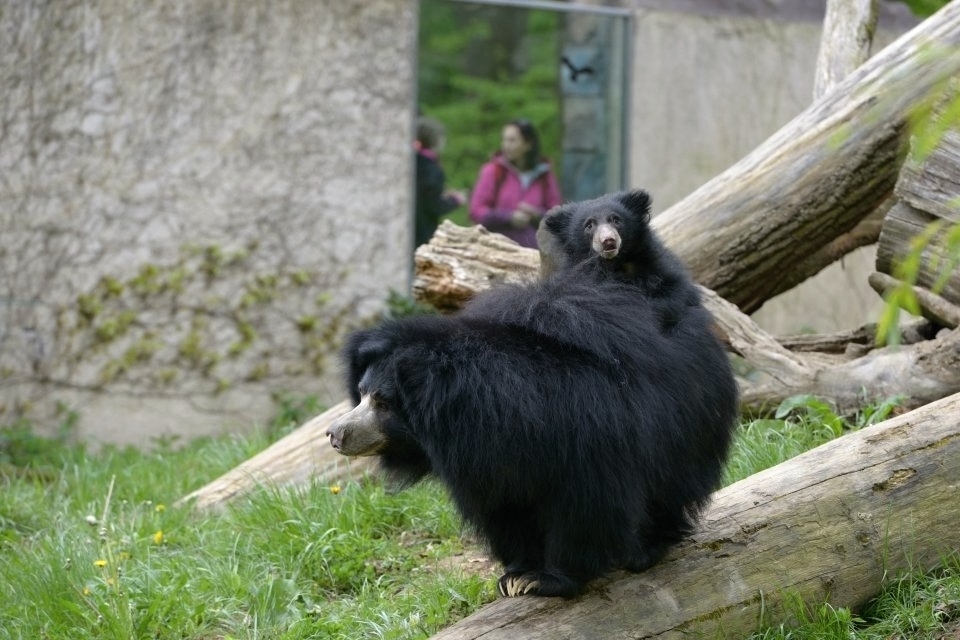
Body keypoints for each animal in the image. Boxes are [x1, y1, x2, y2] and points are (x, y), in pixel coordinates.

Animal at [326, 189, 740, 596]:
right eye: (361, 393)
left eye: (383, 403)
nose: (336, 433)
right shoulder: (488, 460)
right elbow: (505, 509)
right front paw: (518, 573)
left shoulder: (584, 436)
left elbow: (586, 505)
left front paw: (551, 578)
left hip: (684, 416)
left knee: (670, 483)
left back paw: (648, 547)